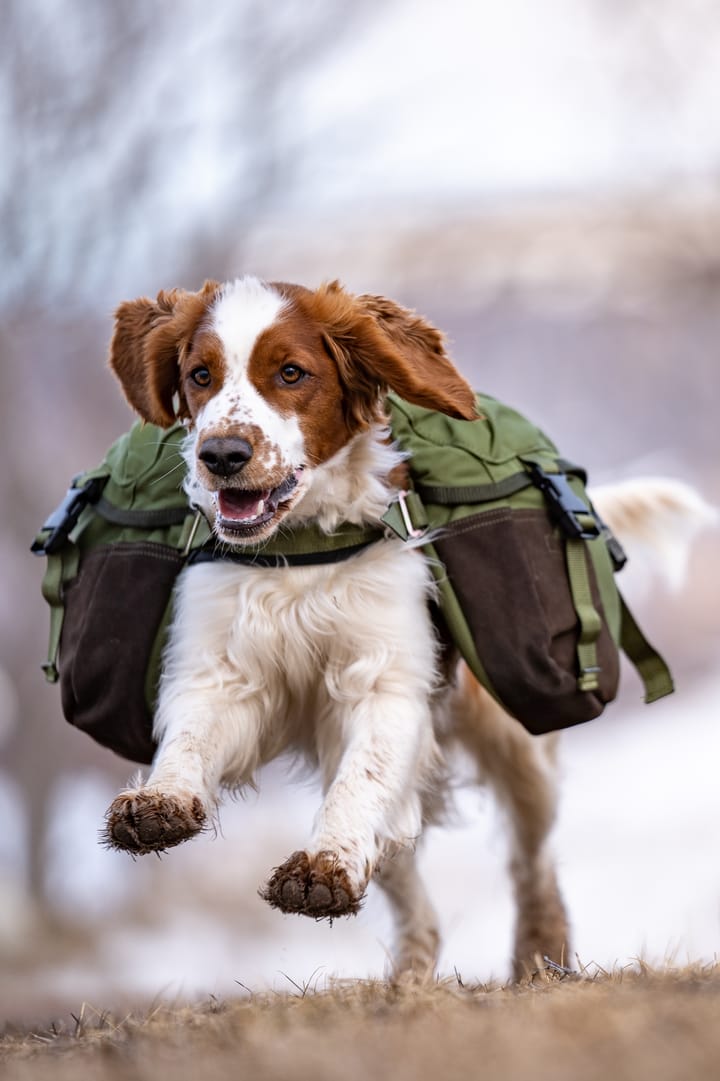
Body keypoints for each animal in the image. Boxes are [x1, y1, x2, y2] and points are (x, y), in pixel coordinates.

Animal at [102, 276, 713, 981]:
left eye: (291, 373)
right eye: (200, 375)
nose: (222, 454)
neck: (300, 546)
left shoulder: (386, 687)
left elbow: (361, 783)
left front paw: (323, 867)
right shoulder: (222, 673)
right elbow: (191, 741)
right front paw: (160, 804)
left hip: (518, 749)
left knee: (530, 860)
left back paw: (540, 954)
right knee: (409, 880)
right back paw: (411, 977)